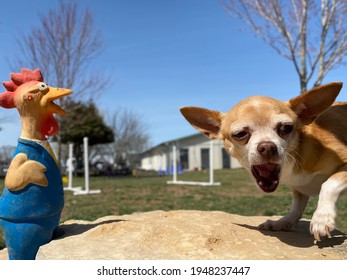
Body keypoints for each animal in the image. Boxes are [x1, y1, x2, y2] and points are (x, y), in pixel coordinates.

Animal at [181, 82, 346, 241]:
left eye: (286, 127)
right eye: (240, 134)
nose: (267, 147)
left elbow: (329, 184)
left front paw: (322, 218)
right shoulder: (300, 188)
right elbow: (296, 208)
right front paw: (282, 222)